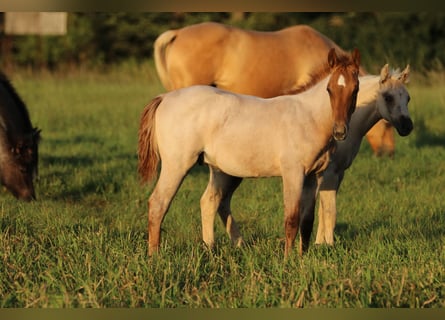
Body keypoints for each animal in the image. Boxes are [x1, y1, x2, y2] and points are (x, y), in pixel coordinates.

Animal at [139, 48, 360, 258]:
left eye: (355, 89)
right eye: (329, 89)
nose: (340, 132)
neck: (308, 118)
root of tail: (164, 97)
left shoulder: (313, 176)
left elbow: (307, 221)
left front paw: (302, 257)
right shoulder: (293, 173)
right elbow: (291, 219)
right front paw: (288, 260)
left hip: (220, 170)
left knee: (209, 201)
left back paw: (210, 249)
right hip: (177, 165)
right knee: (158, 204)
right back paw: (154, 256)